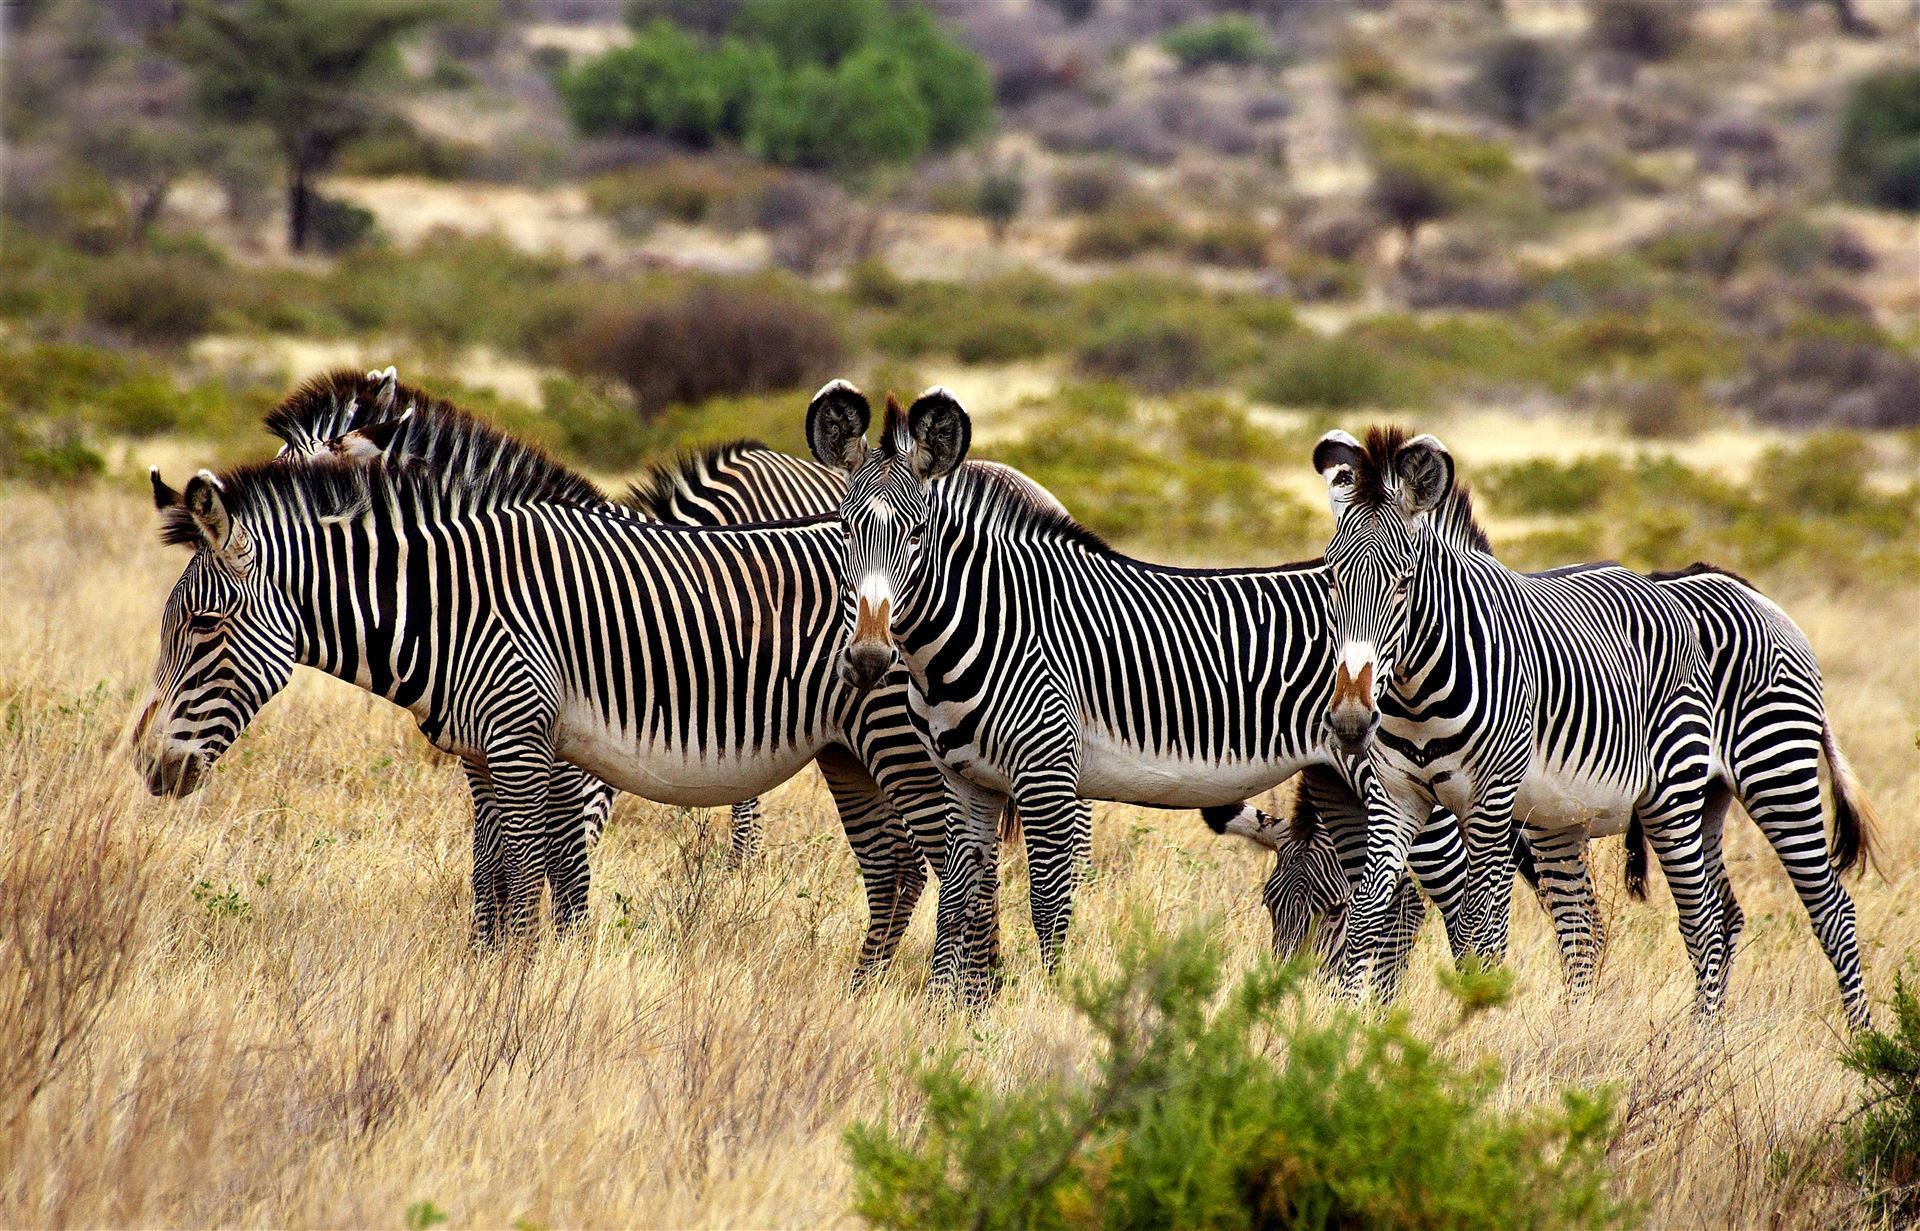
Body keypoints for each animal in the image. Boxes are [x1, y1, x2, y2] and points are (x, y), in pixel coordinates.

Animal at [804, 381, 1373, 996]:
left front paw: (1054, 1002)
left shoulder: (1047, 775)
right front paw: (945, 1004)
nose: (867, 658)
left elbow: (1047, 904)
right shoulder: (965, 779)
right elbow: (960, 901)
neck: (993, 623)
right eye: (844, 529)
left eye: (917, 533)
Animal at [1227, 562, 1878, 1027]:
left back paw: (1857, 1041)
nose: (1285, 1000)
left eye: (1328, 910)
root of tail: (1761, 599)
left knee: (1830, 909)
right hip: (1708, 798)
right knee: (1726, 911)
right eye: (1268, 906)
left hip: (1776, 770)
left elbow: (1458, 918)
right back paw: (1706, 1033)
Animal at [1310, 426, 1734, 1015]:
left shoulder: (1488, 802)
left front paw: (1478, 1016)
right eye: (1331, 581)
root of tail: (1662, 588)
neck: (1417, 698)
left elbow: (1477, 926)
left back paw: (1703, 1034)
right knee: (1582, 928)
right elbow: (1367, 912)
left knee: (1705, 925)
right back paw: (1577, 1025)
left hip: (1671, 799)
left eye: (1404, 582)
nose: (1351, 722)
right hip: (1558, 816)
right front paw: (1347, 1018)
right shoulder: (1396, 796)